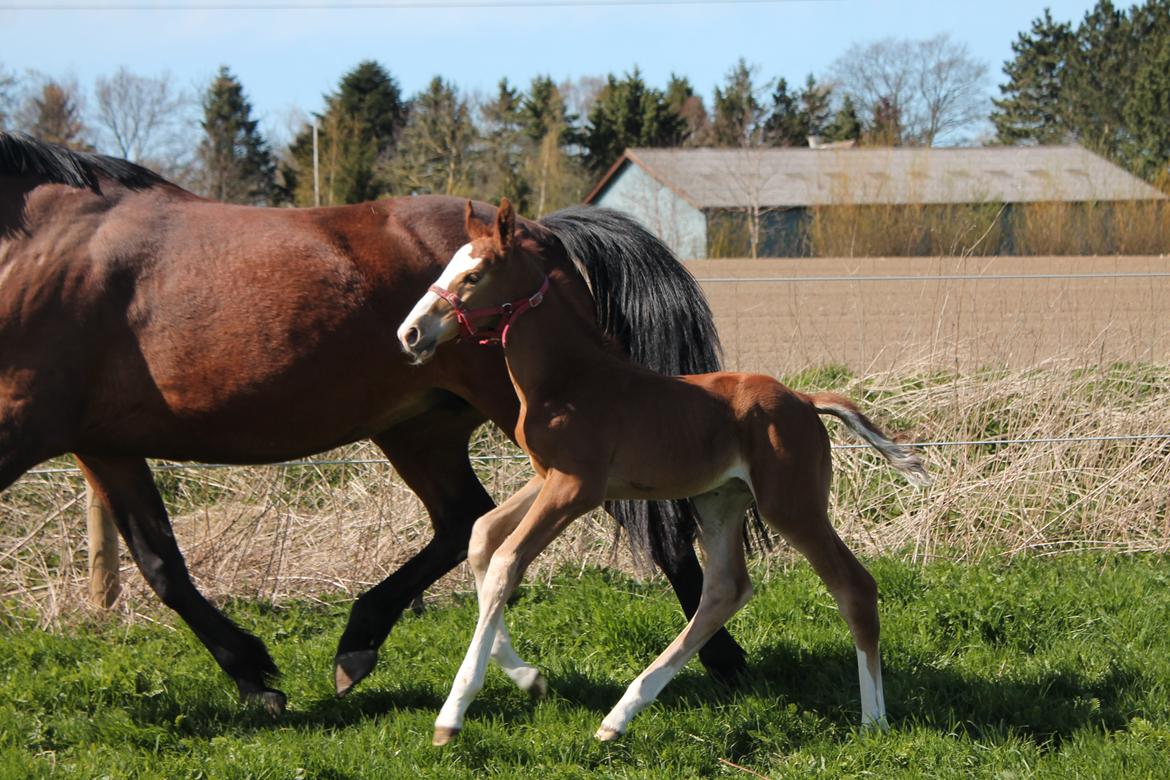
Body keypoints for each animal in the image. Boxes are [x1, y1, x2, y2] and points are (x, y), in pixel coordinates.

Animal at [0, 132, 744, 715]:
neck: (36, 248)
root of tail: (540, 232)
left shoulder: (24, 426)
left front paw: (256, 676)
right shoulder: (104, 446)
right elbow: (162, 564)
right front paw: (253, 674)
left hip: (536, 427)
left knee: (654, 520)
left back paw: (723, 658)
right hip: (419, 430)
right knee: (463, 521)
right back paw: (358, 644)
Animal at [397, 199, 926, 743]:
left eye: (474, 274)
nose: (409, 334)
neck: (568, 379)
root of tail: (804, 399)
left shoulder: (576, 488)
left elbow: (506, 561)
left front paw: (453, 713)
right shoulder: (546, 477)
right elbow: (483, 537)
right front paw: (529, 678)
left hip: (792, 506)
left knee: (853, 587)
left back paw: (874, 720)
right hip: (720, 500)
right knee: (725, 591)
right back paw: (618, 716)